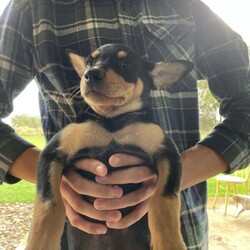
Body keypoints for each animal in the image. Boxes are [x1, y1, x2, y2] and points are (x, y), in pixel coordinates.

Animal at [25, 44, 192, 249]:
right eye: (89, 62)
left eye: (125, 64)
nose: (90, 74)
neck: (113, 120)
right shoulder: (53, 154)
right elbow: (48, 205)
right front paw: (39, 244)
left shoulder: (168, 155)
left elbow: (164, 202)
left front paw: (170, 243)